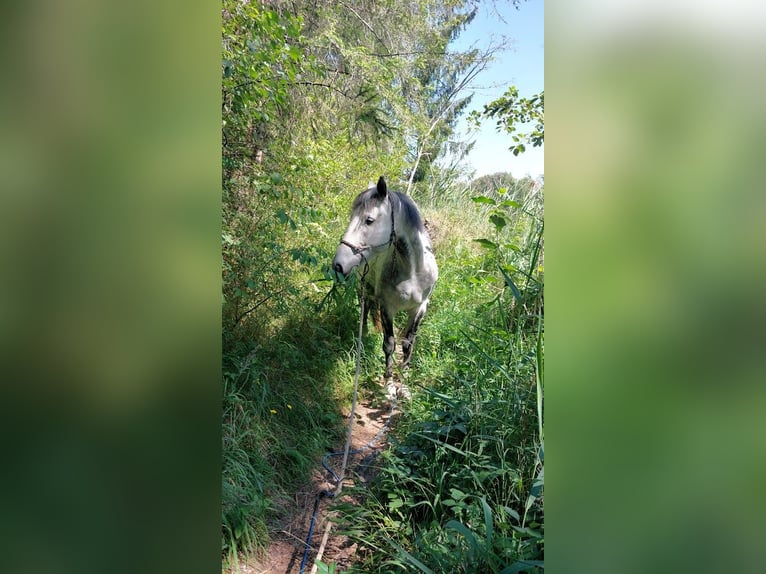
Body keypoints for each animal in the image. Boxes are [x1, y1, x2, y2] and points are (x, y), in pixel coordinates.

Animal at [333, 176, 438, 379]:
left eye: (369, 220)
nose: (338, 265)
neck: (413, 273)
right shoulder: (387, 307)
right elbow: (389, 344)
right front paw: (388, 376)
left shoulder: (420, 308)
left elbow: (408, 342)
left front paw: (405, 371)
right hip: (364, 288)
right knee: (365, 309)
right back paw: (365, 332)